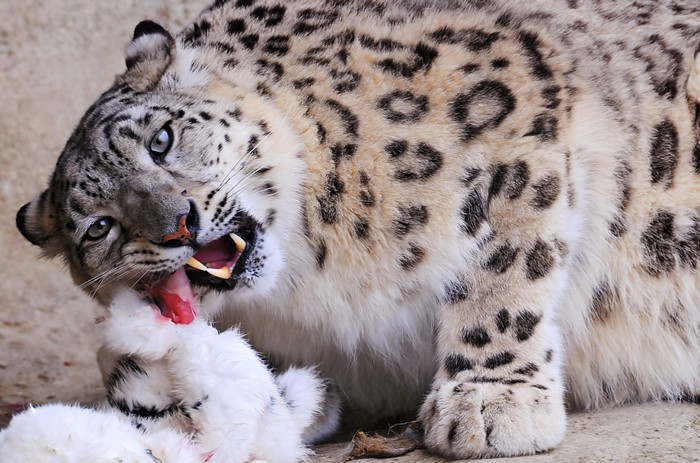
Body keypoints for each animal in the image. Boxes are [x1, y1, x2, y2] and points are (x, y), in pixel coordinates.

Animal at [14, 0, 700, 458]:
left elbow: (504, 268)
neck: (308, 282)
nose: (176, 224)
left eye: (161, 139)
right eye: (99, 228)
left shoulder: (513, 108)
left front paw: (489, 401)